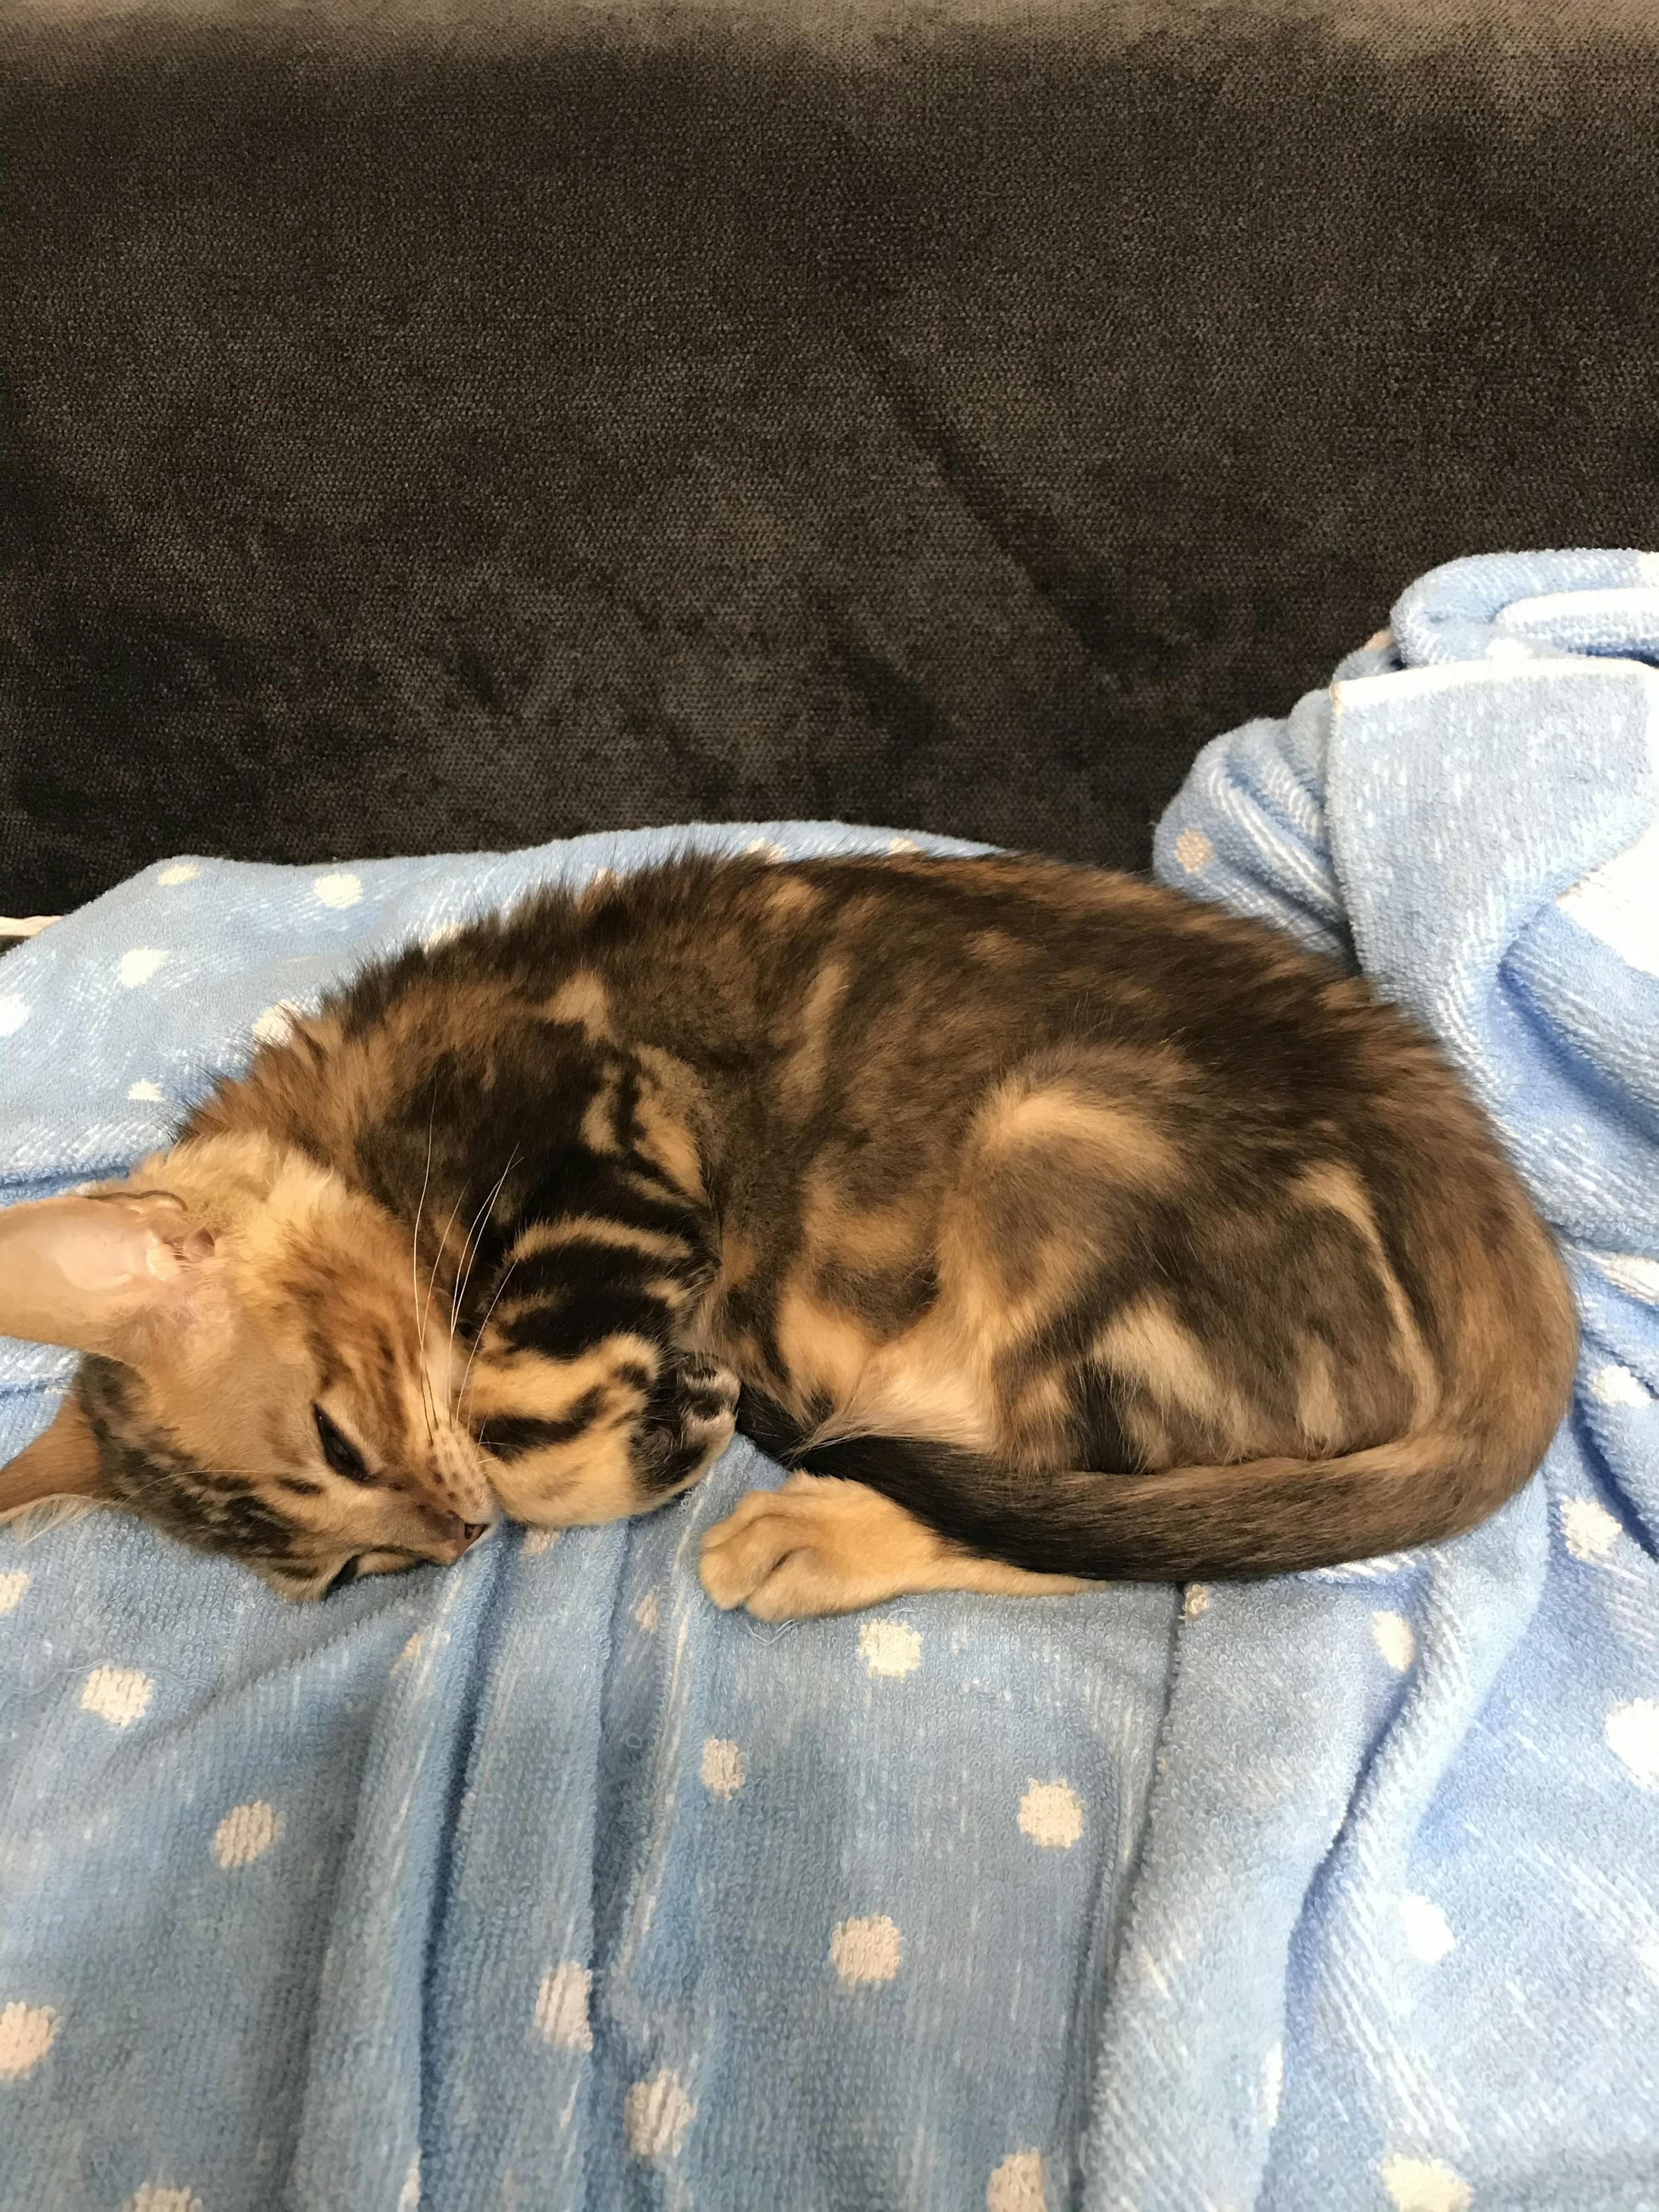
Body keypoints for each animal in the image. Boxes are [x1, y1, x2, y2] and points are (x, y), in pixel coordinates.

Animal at [0, 850, 1577, 1615]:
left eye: (334, 1441)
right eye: (343, 1576)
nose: (445, 1548)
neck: (358, 1121)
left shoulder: (611, 1128)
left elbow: (516, 1425)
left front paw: (641, 1439)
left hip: (1052, 1143)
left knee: (1101, 1517)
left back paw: (811, 1522)